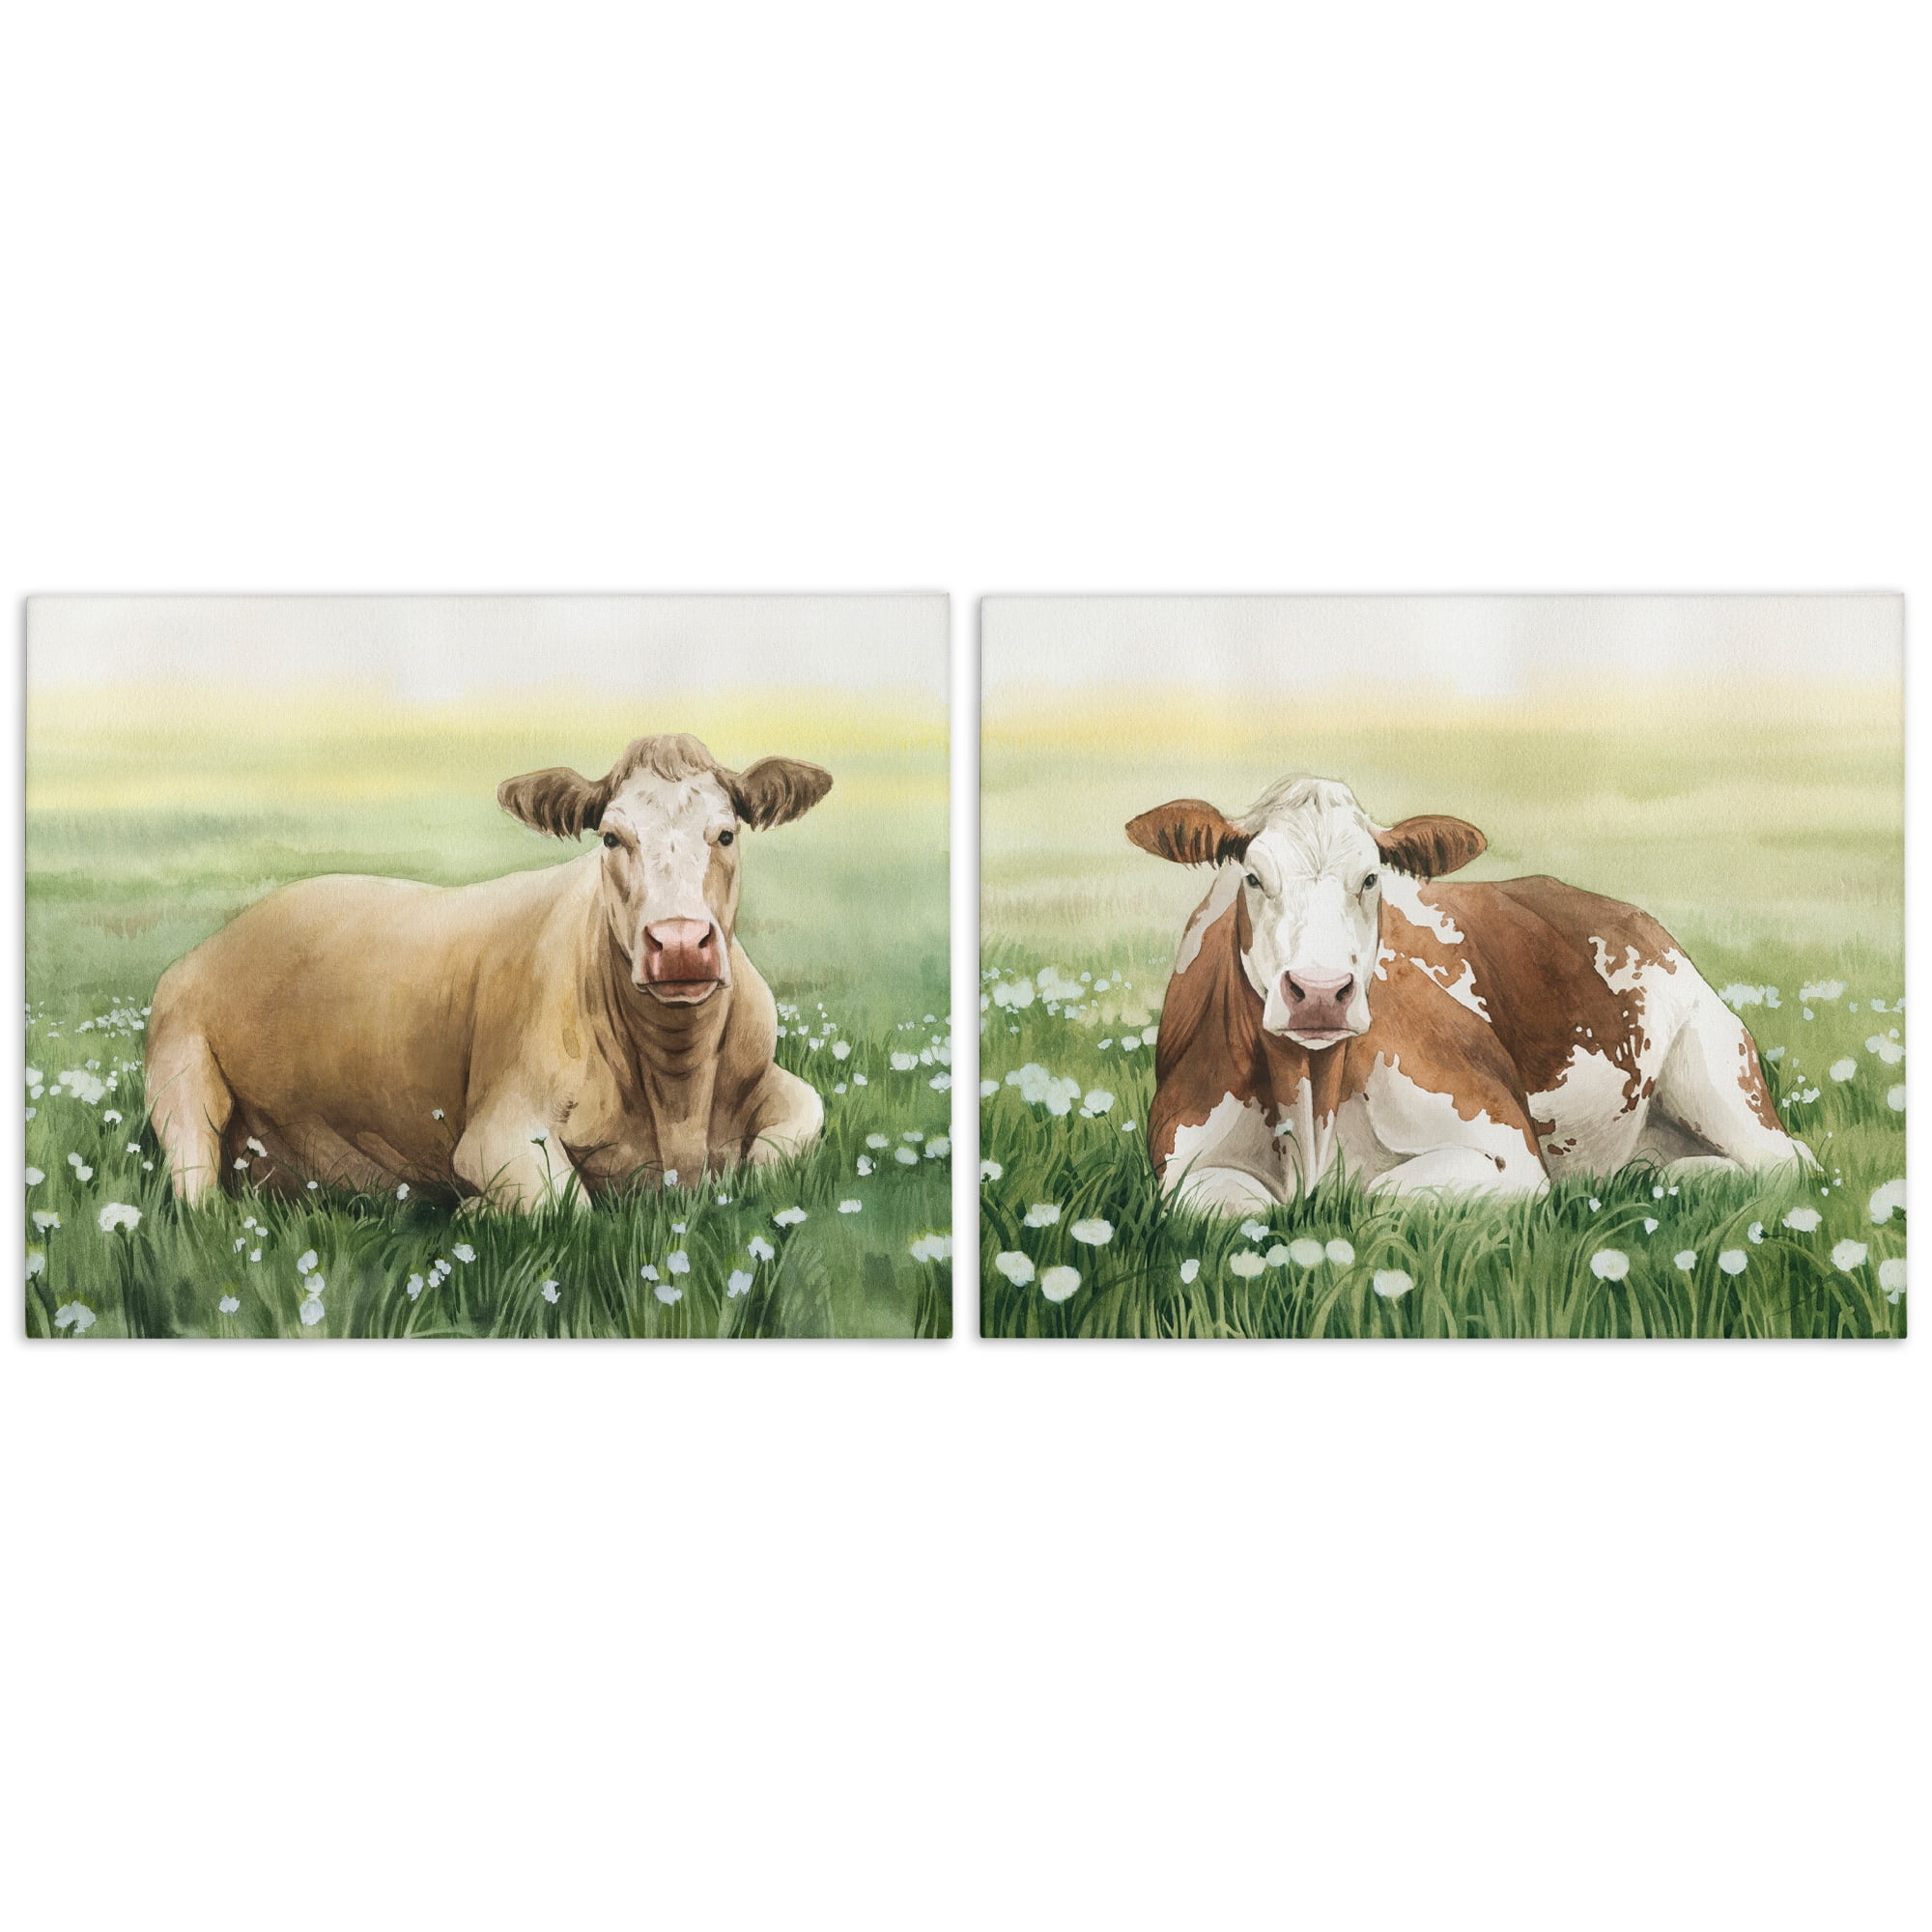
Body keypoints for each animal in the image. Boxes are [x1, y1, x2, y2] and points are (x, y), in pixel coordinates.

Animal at [146, 732, 832, 1211]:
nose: (681, 942)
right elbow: (567, 1207)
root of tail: (225, 933)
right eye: (611, 838)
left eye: (726, 834)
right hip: (178, 1071)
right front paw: (472, 1212)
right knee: (197, 1200)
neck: (677, 1094)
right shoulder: (499, 1131)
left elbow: (794, 1132)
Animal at [1127, 775, 1811, 1212]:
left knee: (1786, 1163)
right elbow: (1231, 1207)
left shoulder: (1509, 1148)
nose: (1320, 992)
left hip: (1715, 1067)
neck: (1310, 1097)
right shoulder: (1181, 1166)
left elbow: (1377, 1197)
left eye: (1370, 878)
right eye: (1252, 876)